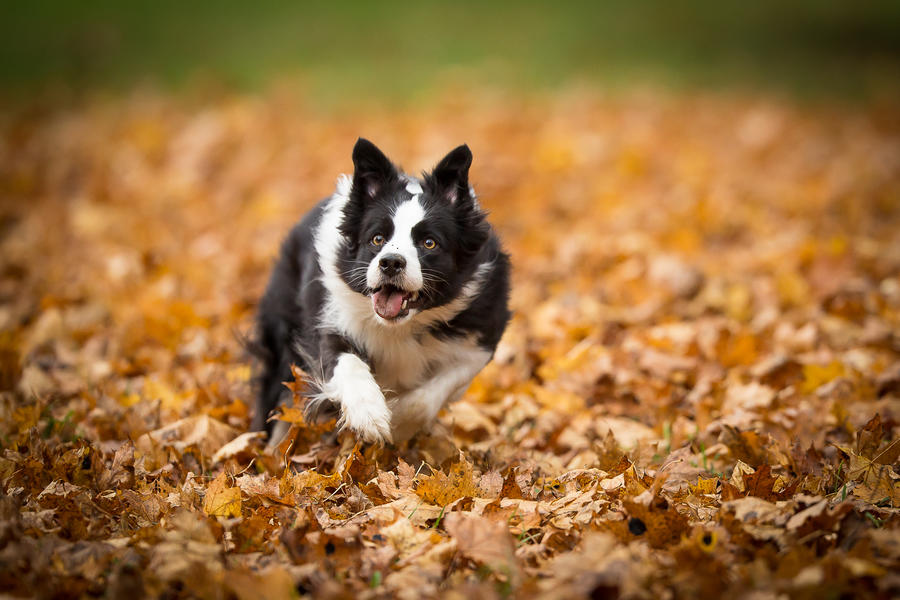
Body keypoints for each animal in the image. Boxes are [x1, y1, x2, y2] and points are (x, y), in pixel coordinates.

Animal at [250, 138, 510, 442]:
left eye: (429, 242)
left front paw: (397, 421)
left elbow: (431, 395)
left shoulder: (481, 339)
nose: (391, 262)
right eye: (377, 239)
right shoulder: (329, 319)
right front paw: (370, 415)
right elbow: (347, 363)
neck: (402, 326)